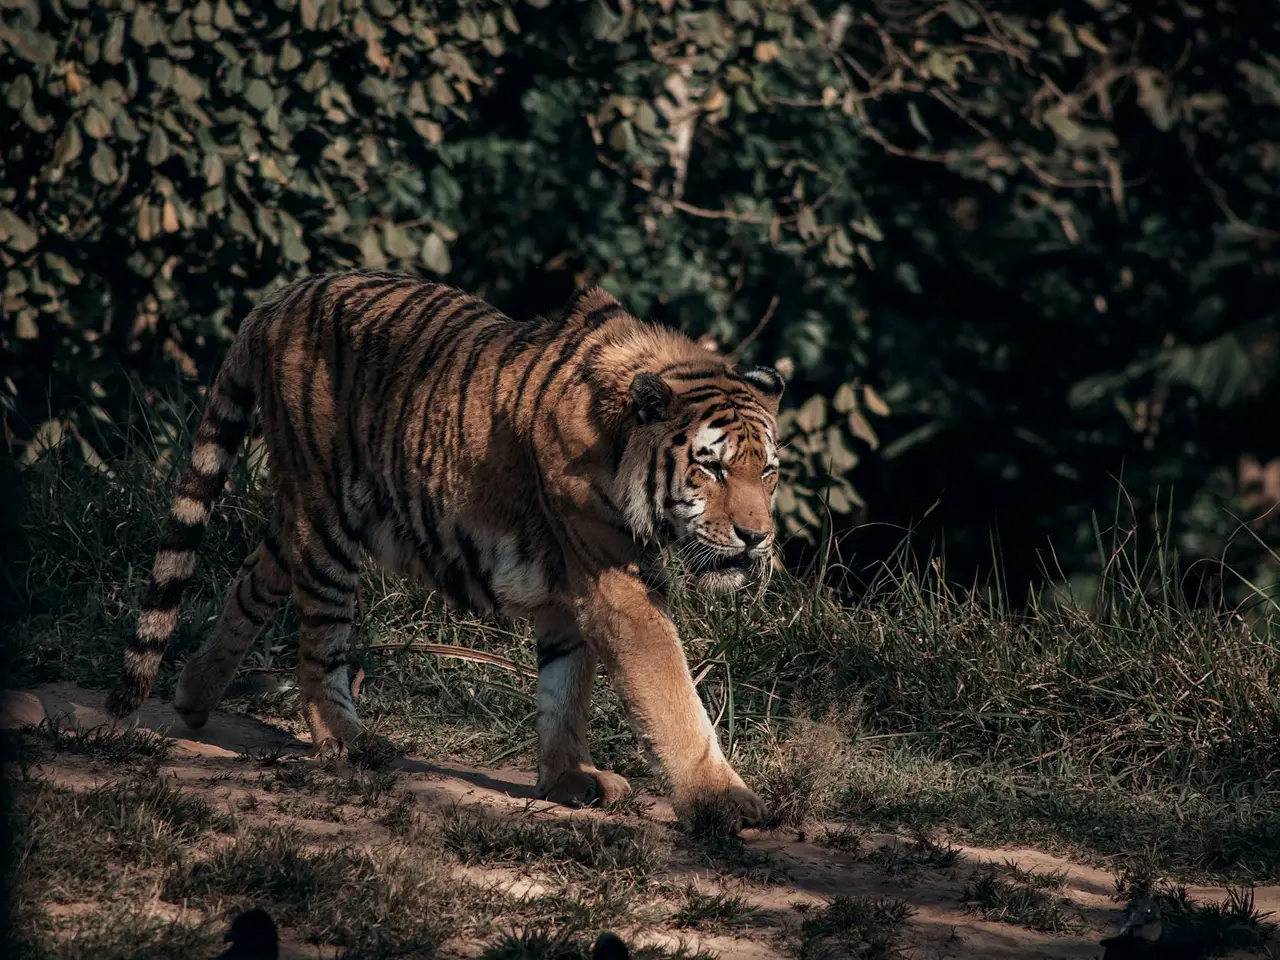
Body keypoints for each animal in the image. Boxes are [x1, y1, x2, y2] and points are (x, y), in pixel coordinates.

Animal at [104, 270, 785, 827]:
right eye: (711, 467)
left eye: (768, 472)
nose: (757, 538)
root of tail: (281, 297)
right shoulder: (615, 583)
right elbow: (670, 693)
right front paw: (721, 800)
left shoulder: (571, 588)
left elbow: (565, 687)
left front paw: (569, 779)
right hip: (328, 521)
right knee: (318, 644)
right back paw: (348, 742)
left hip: (302, 513)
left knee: (253, 580)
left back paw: (193, 695)